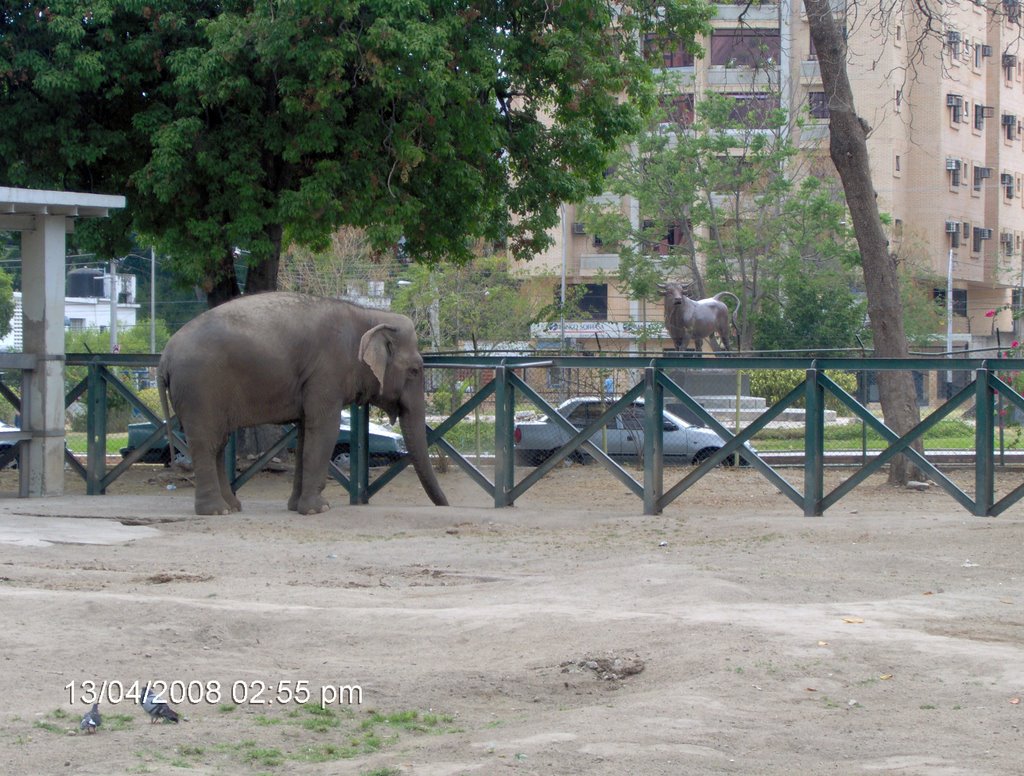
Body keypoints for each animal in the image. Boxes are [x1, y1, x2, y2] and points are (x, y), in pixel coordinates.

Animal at [157, 290, 446, 515]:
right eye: (415, 371)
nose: (445, 505)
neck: (369, 315)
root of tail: (164, 357)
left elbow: (306, 432)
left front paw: (297, 507)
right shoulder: (327, 371)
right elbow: (324, 429)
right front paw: (318, 509)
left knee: (218, 442)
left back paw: (232, 507)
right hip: (199, 388)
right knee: (207, 442)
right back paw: (216, 511)